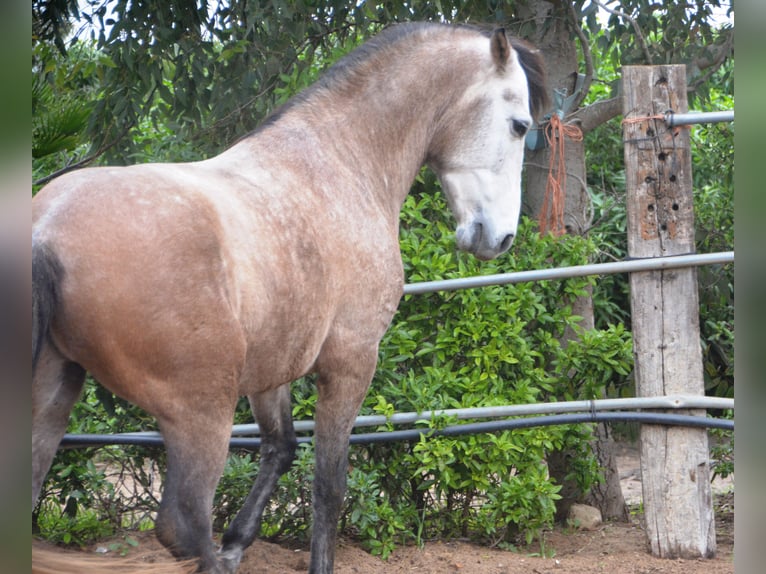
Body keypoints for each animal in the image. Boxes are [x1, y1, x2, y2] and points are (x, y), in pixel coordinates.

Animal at [33, 23, 548, 574]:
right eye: (520, 125)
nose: (500, 238)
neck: (342, 162)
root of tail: (46, 231)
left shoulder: (271, 370)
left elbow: (280, 448)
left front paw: (238, 541)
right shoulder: (351, 361)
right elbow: (329, 484)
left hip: (55, 399)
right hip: (201, 414)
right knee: (183, 523)